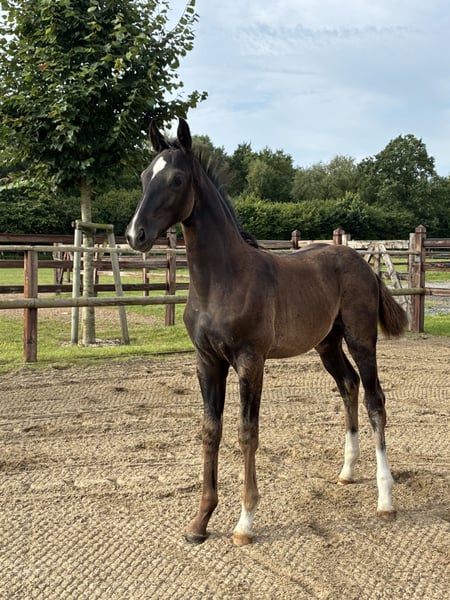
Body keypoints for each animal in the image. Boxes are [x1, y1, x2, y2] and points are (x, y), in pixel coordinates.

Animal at [126, 118, 408, 546]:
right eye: (144, 176)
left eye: (176, 179)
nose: (135, 235)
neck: (223, 280)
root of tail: (361, 261)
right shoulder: (207, 361)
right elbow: (210, 430)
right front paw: (199, 523)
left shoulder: (250, 360)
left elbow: (247, 432)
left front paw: (244, 522)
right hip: (327, 344)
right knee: (348, 385)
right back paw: (346, 472)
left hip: (361, 338)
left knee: (375, 399)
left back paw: (385, 499)